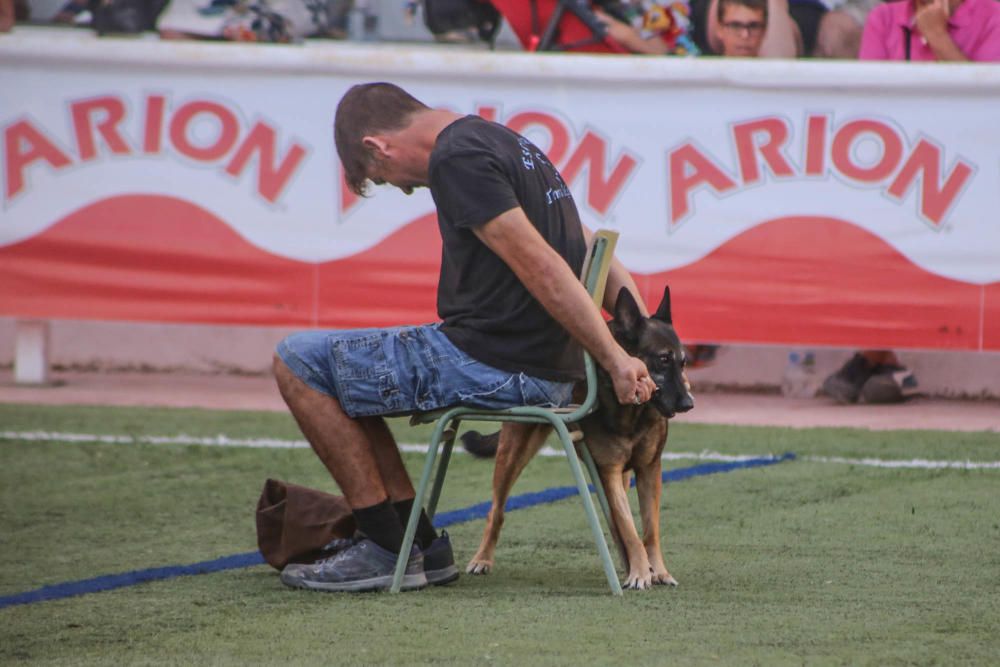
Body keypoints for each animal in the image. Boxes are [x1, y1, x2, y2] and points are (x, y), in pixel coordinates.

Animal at [466, 286, 696, 588]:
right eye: (663, 359)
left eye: (683, 363)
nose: (689, 403)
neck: (631, 412)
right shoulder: (609, 472)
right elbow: (630, 530)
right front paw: (639, 573)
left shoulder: (649, 470)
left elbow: (649, 530)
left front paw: (656, 570)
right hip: (514, 453)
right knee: (496, 510)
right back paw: (482, 558)